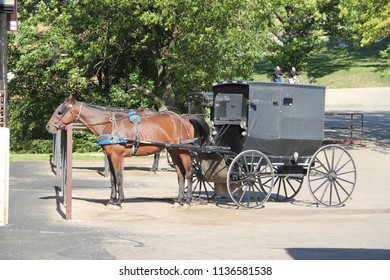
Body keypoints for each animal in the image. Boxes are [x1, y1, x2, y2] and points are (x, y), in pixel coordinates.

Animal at [45, 96, 209, 208]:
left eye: (60, 111)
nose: (48, 127)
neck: (109, 125)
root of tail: (184, 118)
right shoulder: (110, 156)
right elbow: (112, 179)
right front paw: (111, 200)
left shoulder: (117, 156)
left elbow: (118, 177)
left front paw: (119, 201)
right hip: (174, 151)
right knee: (180, 175)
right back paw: (179, 199)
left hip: (184, 151)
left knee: (189, 173)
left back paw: (187, 200)